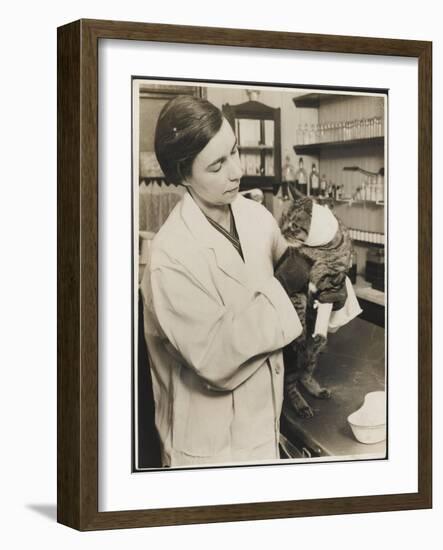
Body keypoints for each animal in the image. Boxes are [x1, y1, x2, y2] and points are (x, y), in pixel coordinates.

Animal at [280, 196, 354, 420]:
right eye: (282, 219)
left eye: (294, 225)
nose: (281, 230)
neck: (322, 250)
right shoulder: (295, 288)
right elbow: (299, 310)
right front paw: (301, 332)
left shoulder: (332, 286)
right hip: (291, 359)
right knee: (290, 384)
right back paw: (300, 404)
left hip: (313, 355)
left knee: (305, 372)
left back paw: (315, 388)